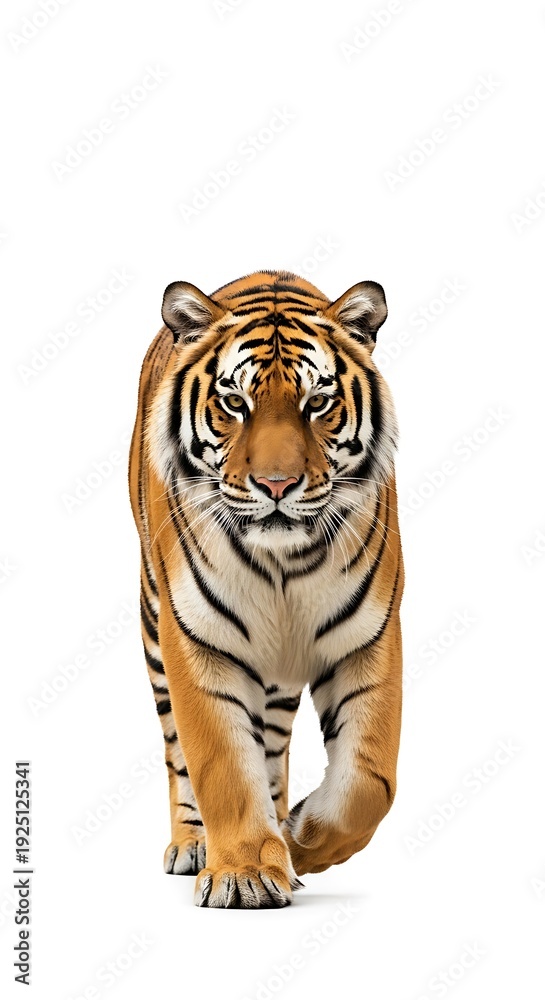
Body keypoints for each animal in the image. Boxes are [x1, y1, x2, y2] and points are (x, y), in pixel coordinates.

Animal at [128, 269, 404, 909]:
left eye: (317, 403)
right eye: (235, 403)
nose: (276, 485)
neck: (283, 564)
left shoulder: (369, 639)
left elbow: (370, 779)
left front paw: (300, 840)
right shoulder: (197, 642)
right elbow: (223, 764)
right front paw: (245, 874)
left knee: (274, 748)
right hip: (154, 625)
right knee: (179, 752)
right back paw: (195, 845)